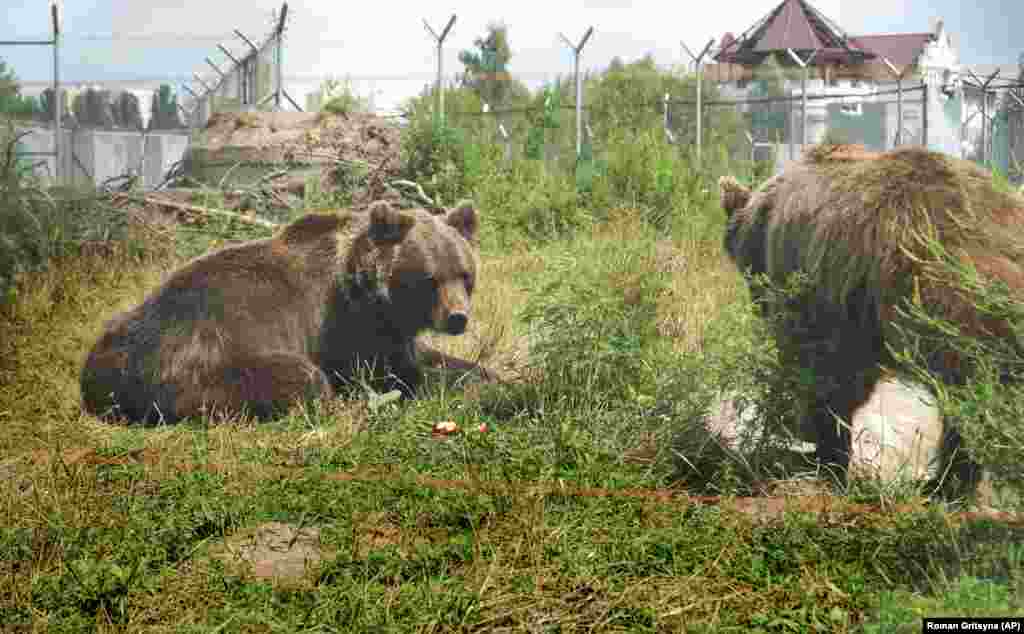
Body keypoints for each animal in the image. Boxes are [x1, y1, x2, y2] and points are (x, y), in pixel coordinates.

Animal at [79, 200, 479, 424]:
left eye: (464, 273)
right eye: (429, 279)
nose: (457, 317)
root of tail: (95, 377)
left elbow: (426, 356)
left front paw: (479, 372)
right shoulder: (344, 326)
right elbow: (397, 374)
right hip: (198, 363)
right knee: (303, 377)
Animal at [720, 145, 1024, 501]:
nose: (758, 305)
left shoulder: (822, 288)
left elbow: (823, 374)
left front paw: (822, 451)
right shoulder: (857, 310)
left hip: (949, 297)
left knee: (970, 395)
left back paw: (947, 483)